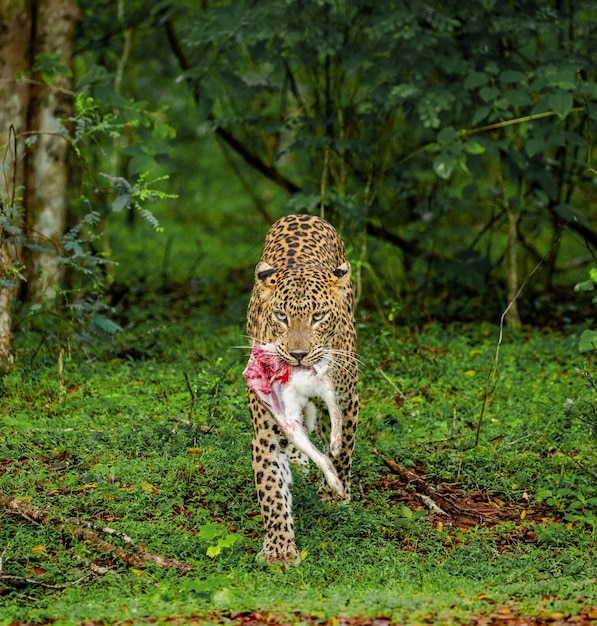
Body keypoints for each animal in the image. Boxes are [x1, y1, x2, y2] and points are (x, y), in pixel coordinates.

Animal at [243, 212, 356, 564]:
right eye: (281, 316)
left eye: (318, 317)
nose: (298, 354)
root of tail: (302, 215)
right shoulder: (266, 430)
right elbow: (271, 488)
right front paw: (279, 547)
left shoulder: (347, 399)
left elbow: (343, 448)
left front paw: (335, 494)